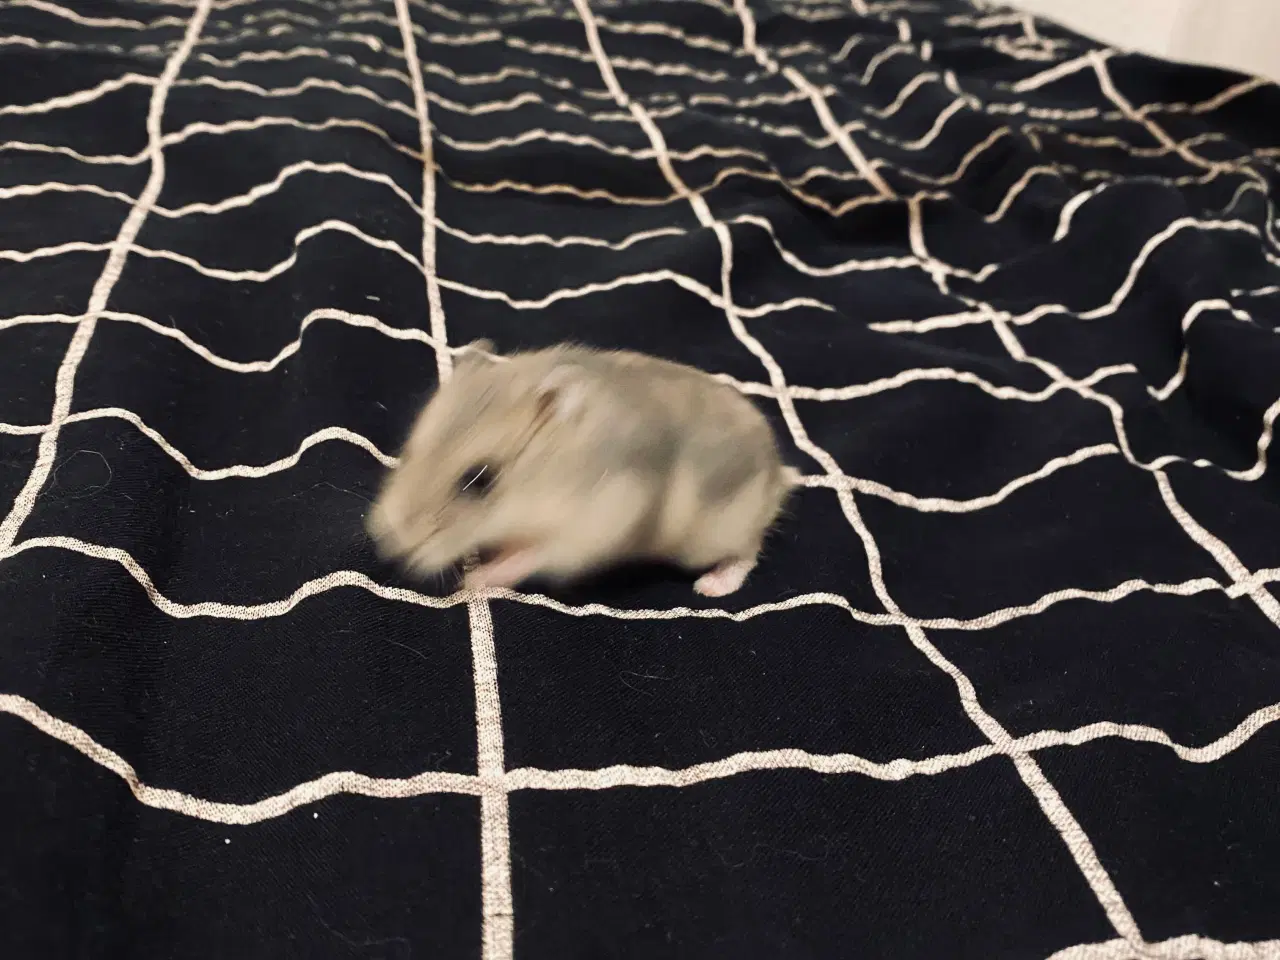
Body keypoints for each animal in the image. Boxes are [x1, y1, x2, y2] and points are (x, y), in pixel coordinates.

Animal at [366, 341, 798, 597]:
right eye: (410, 450)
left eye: (479, 481)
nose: (387, 542)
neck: (558, 473)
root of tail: (778, 475)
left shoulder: (589, 531)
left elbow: (530, 554)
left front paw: (473, 579)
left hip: (714, 535)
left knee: (748, 550)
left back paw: (711, 586)